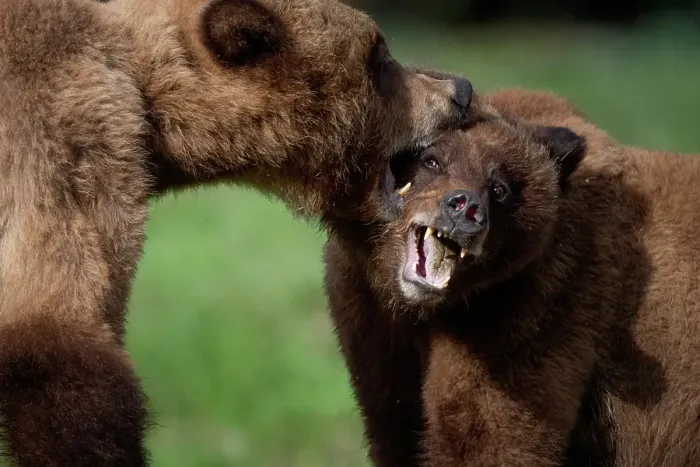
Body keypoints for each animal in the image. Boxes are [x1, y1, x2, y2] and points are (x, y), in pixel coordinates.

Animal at [323, 88, 700, 467]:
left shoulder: (533, 311)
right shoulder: (370, 324)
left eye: (499, 188)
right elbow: (396, 427)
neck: (422, 310)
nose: (464, 208)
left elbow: (487, 437)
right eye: (431, 160)